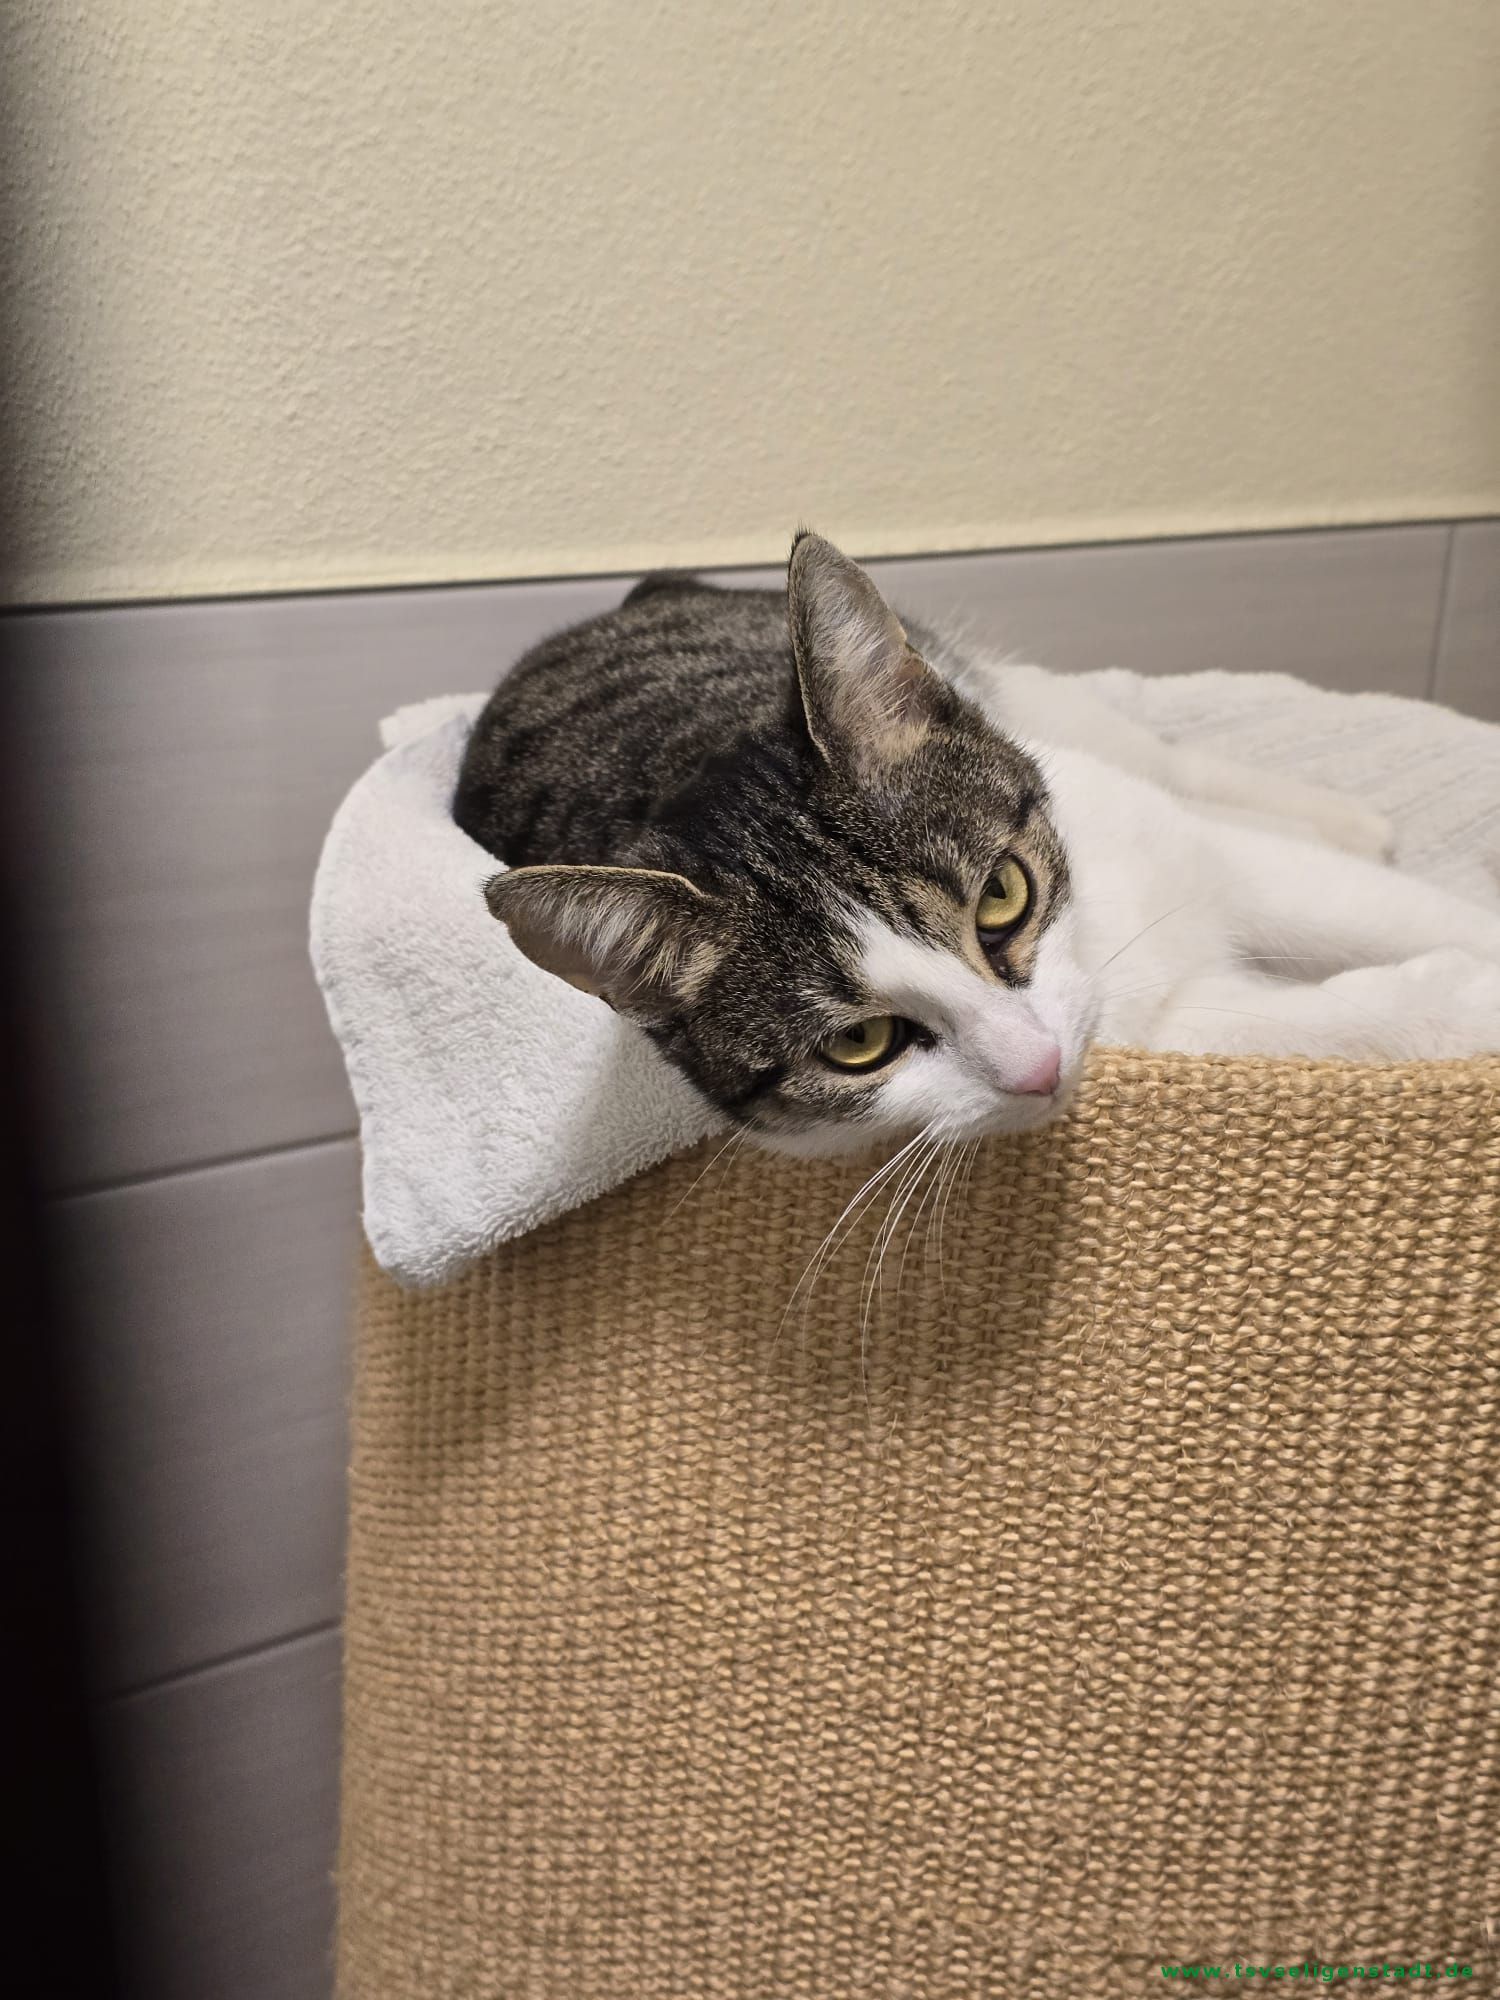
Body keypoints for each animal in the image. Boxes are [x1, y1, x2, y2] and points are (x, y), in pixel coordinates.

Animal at [453, 530, 1500, 1156]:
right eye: (861, 1043)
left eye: (1003, 893)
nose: (1035, 1069)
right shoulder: (1162, 1025)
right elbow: (1282, 1018)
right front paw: (1456, 1002)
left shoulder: (1180, 850)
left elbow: (1330, 893)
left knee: (1164, 760)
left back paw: (1344, 817)